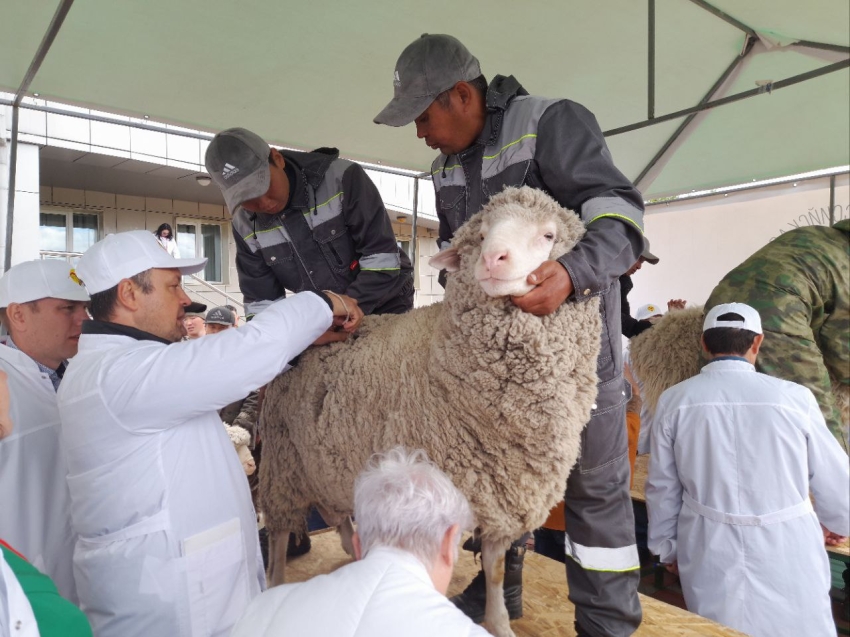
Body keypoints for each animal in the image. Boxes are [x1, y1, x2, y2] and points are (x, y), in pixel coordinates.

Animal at [262, 185, 600, 636]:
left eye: (548, 235)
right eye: (481, 236)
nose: (493, 259)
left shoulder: (499, 493)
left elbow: (494, 569)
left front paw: (499, 622)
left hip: (328, 459)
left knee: (337, 513)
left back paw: (353, 550)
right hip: (284, 462)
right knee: (279, 532)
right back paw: (275, 581)